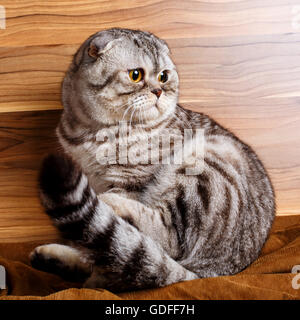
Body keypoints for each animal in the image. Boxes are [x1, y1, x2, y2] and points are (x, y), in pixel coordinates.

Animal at [29, 28, 274, 292]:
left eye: (163, 76)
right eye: (136, 75)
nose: (158, 91)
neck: (92, 132)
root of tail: (208, 273)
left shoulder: (129, 180)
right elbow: (92, 237)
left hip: (206, 160)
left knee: (163, 239)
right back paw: (55, 260)